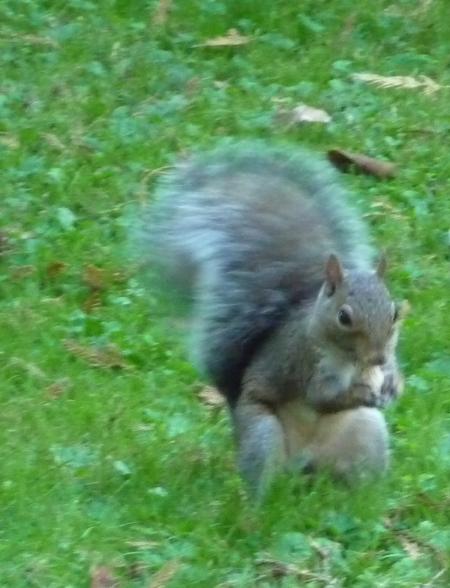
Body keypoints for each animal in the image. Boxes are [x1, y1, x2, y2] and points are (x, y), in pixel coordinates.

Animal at [139, 140, 406, 494]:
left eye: (394, 312)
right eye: (344, 317)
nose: (377, 358)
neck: (352, 361)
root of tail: (303, 467)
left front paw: (393, 384)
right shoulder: (305, 361)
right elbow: (320, 397)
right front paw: (358, 393)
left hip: (365, 432)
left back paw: (366, 499)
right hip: (263, 433)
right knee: (263, 472)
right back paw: (263, 501)